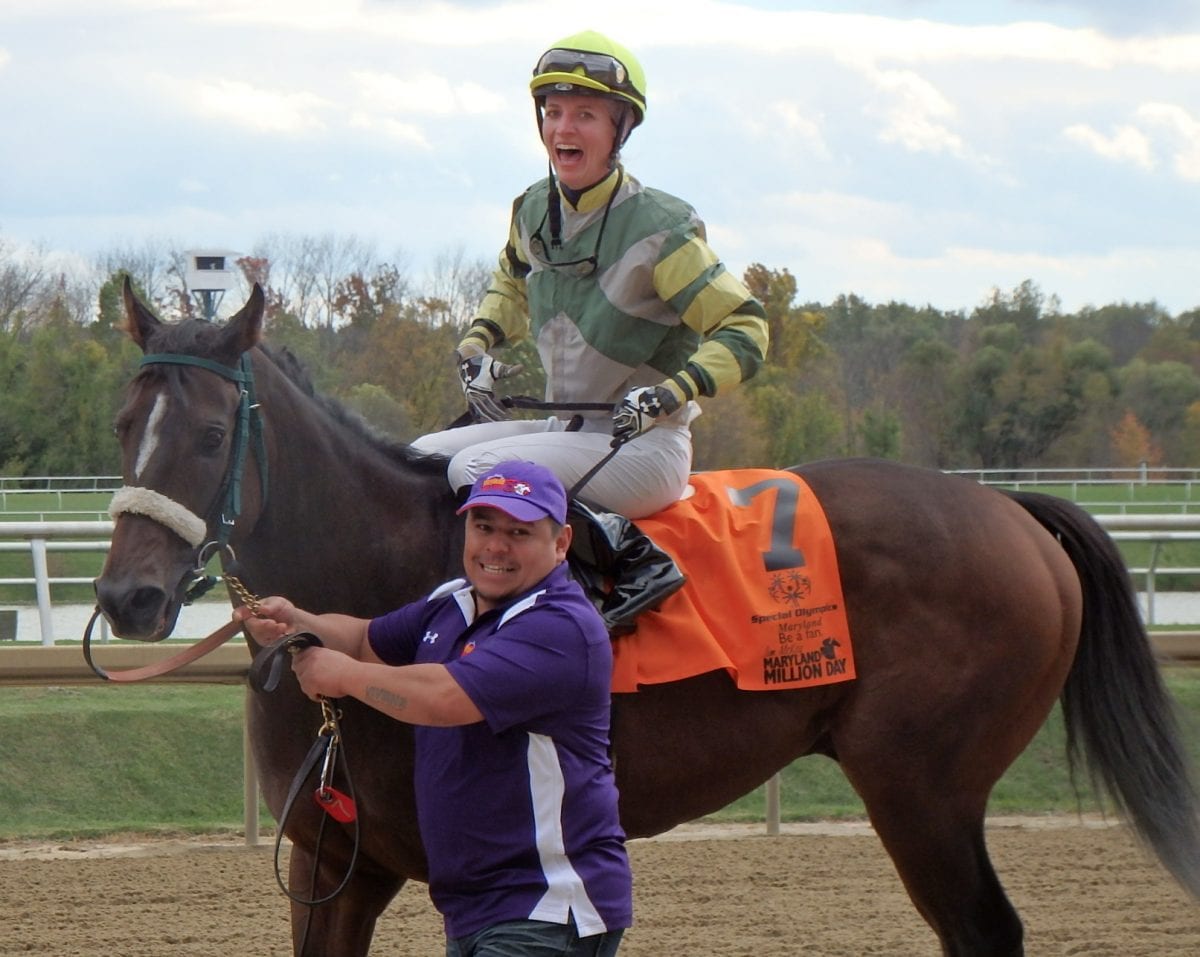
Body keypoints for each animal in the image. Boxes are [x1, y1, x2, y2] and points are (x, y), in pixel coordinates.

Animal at [93, 279, 1200, 957]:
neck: (372, 572)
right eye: (123, 424)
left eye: (206, 433)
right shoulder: (329, 870)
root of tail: (1009, 508)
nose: (126, 598)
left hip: (923, 790)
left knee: (984, 931)